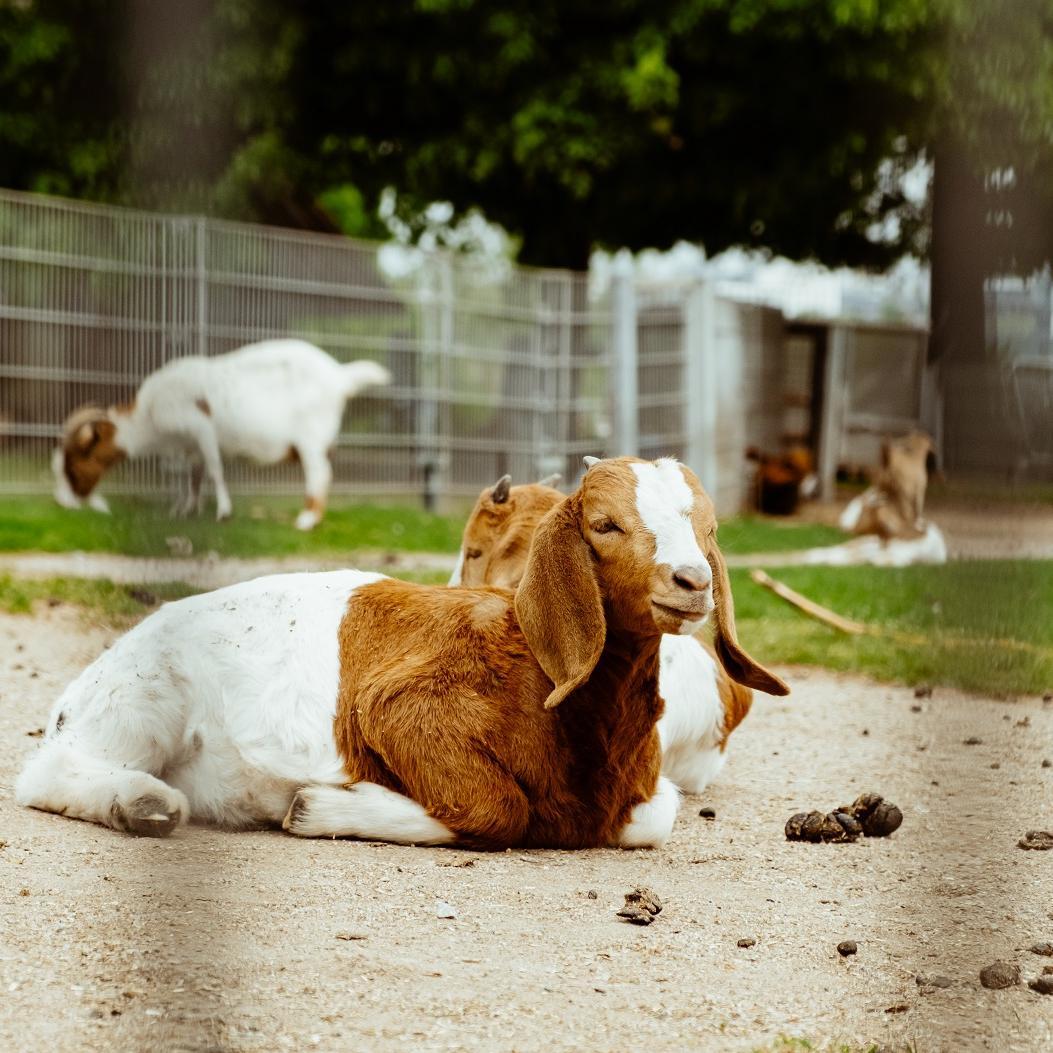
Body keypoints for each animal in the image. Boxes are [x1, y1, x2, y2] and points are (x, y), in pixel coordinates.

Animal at [51, 339, 391, 530]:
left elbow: (215, 470)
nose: (67, 503)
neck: (148, 414)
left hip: (311, 439)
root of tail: (340, 376)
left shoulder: (200, 428)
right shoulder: (190, 448)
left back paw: (307, 520)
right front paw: (185, 510)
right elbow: (194, 476)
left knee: (320, 474)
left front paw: (223, 512)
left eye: (74, 463)